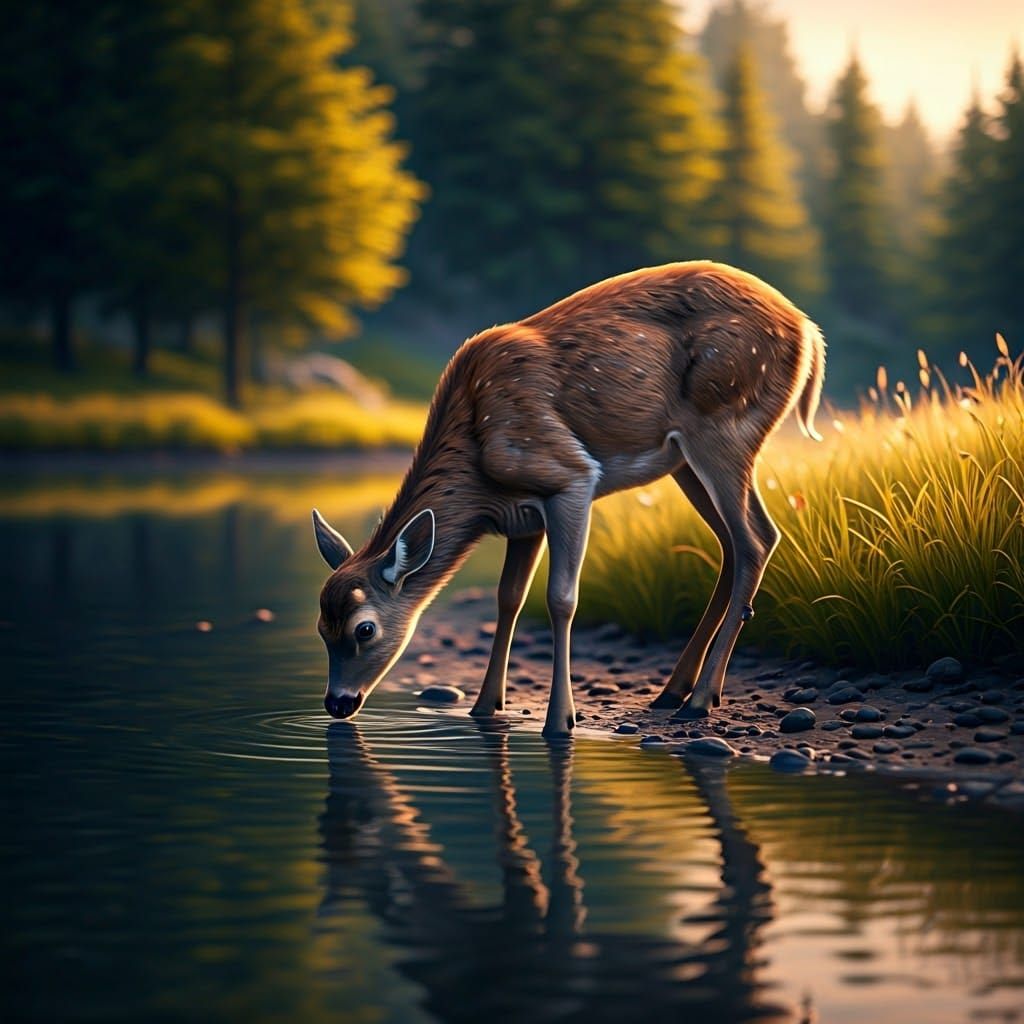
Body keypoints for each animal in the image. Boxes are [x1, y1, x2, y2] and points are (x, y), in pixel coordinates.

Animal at [312, 261, 825, 738]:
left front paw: (560, 721)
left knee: (756, 539)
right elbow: (508, 598)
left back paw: (697, 701)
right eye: (321, 626)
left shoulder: (569, 477)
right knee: (733, 545)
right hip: (686, 460)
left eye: (364, 628)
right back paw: (674, 692)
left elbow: (560, 598)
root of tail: (809, 332)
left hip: (723, 428)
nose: (337, 703)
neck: (479, 468)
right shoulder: (522, 518)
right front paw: (485, 708)